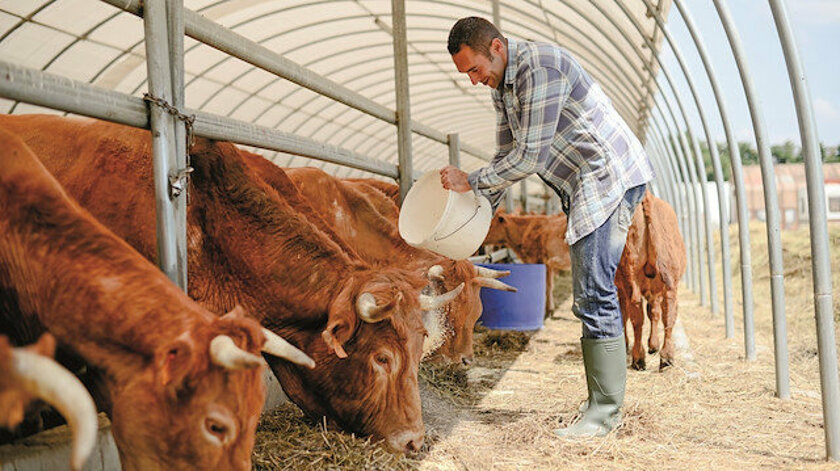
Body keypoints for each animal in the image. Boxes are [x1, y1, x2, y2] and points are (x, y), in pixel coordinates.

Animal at [612, 192, 684, 372]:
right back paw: (666, 357)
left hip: (629, 274)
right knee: (669, 312)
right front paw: (653, 344)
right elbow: (655, 312)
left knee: (636, 314)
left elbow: (624, 313)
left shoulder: (619, 288)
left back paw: (638, 357)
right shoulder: (656, 290)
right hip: (670, 277)